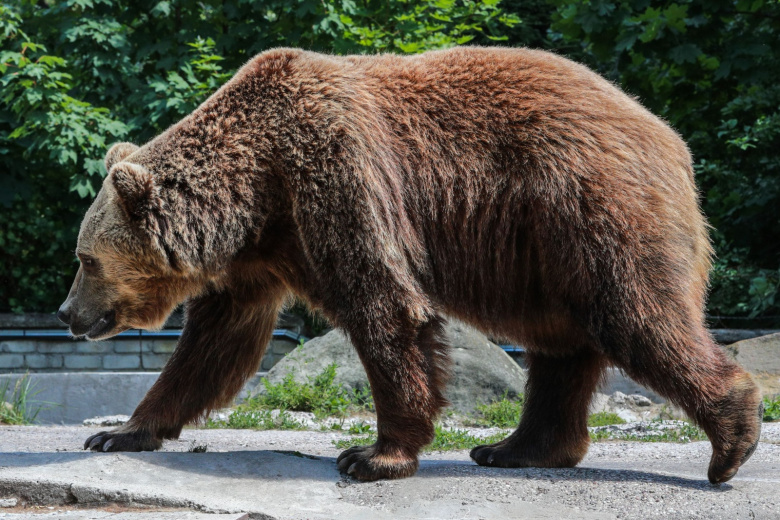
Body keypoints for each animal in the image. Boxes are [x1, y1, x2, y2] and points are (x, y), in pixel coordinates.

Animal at [58, 46, 762, 484]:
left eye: (85, 260)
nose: (67, 313)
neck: (256, 190)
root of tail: (670, 139)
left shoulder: (338, 176)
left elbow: (385, 306)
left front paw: (373, 455)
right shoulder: (260, 254)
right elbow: (213, 345)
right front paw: (121, 431)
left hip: (593, 210)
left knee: (637, 315)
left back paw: (732, 439)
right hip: (543, 255)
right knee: (560, 346)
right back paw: (513, 447)